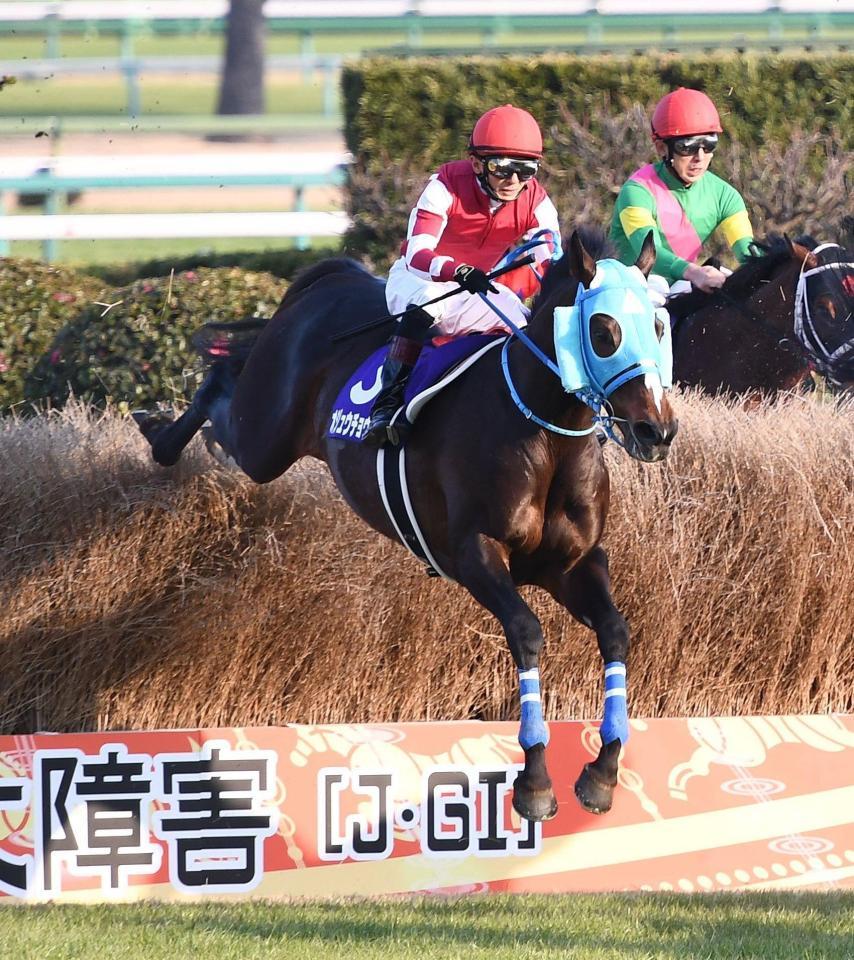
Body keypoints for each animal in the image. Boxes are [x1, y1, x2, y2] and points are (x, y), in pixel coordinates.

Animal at [137, 231, 680, 816]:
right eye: (603, 331)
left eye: (658, 325)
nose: (657, 430)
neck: (544, 433)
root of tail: (336, 277)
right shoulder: (474, 553)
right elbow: (527, 632)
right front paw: (534, 780)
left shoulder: (572, 564)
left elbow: (616, 631)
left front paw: (603, 770)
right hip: (265, 438)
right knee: (221, 390)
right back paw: (158, 431)